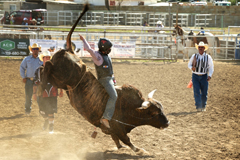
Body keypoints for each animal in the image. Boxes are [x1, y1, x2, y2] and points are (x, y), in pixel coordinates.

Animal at [40, 3, 169, 154]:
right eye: (155, 112)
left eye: (162, 108)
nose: (167, 122)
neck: (131, 107)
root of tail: (69, 51)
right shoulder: (118, 127)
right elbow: (127, 140)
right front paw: (139, 150)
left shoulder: (113, 131)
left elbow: (117, 140)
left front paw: (120, 148)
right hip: (62, 76)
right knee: (47, 66)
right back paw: (42, 84)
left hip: (61, 82)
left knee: (46, 67)